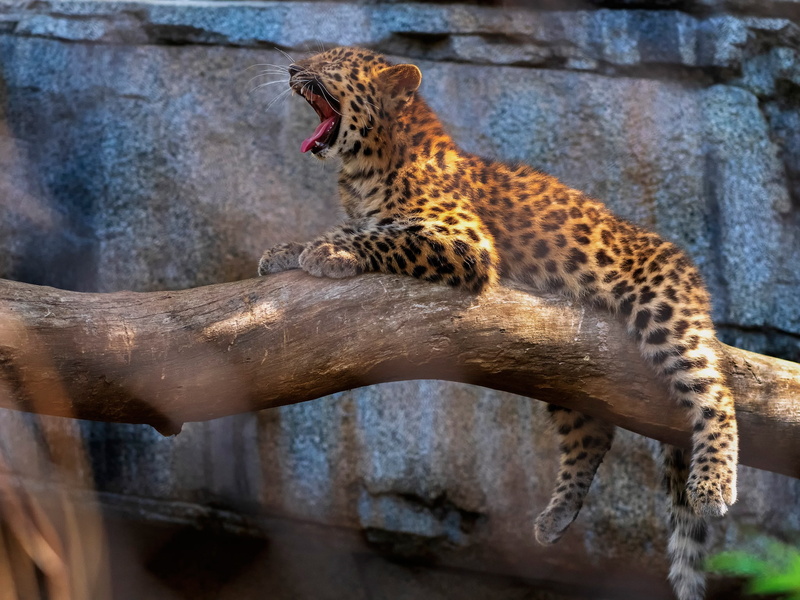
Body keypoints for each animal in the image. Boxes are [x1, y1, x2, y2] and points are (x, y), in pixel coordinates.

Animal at [256, 47, 738, 600]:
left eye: (331, 61)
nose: (293, 69)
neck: (364, 170)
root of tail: (686, 265)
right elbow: (352, 229)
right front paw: (284, 251)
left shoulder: (465, 242)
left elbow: (382, 237)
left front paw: (327, 252)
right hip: (567, 372)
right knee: (592, 434)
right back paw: (555, 518)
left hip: (665, 313)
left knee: (715, 394)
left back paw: (712, 484)